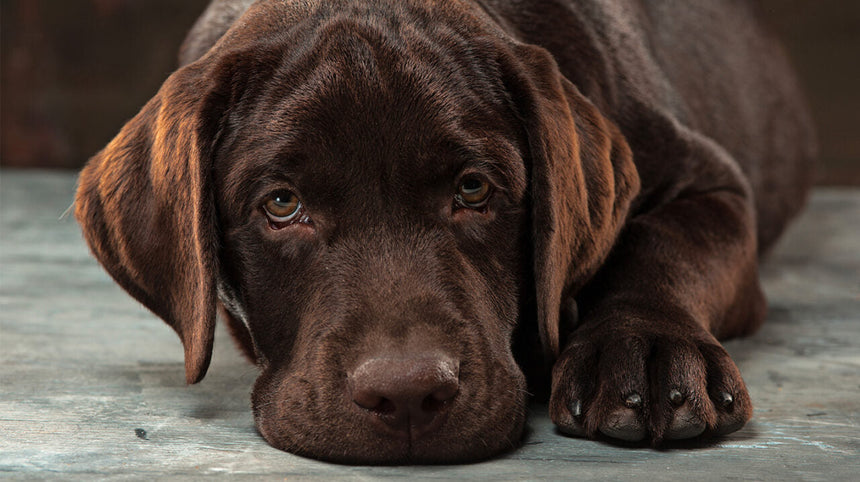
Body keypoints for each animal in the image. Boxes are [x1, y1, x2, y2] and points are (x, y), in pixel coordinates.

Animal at [74, 0, 812, 466]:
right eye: (282, 204)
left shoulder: (713, 184)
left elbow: (662, 246)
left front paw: (647, 354)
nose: (406, 396)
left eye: (473, 189)